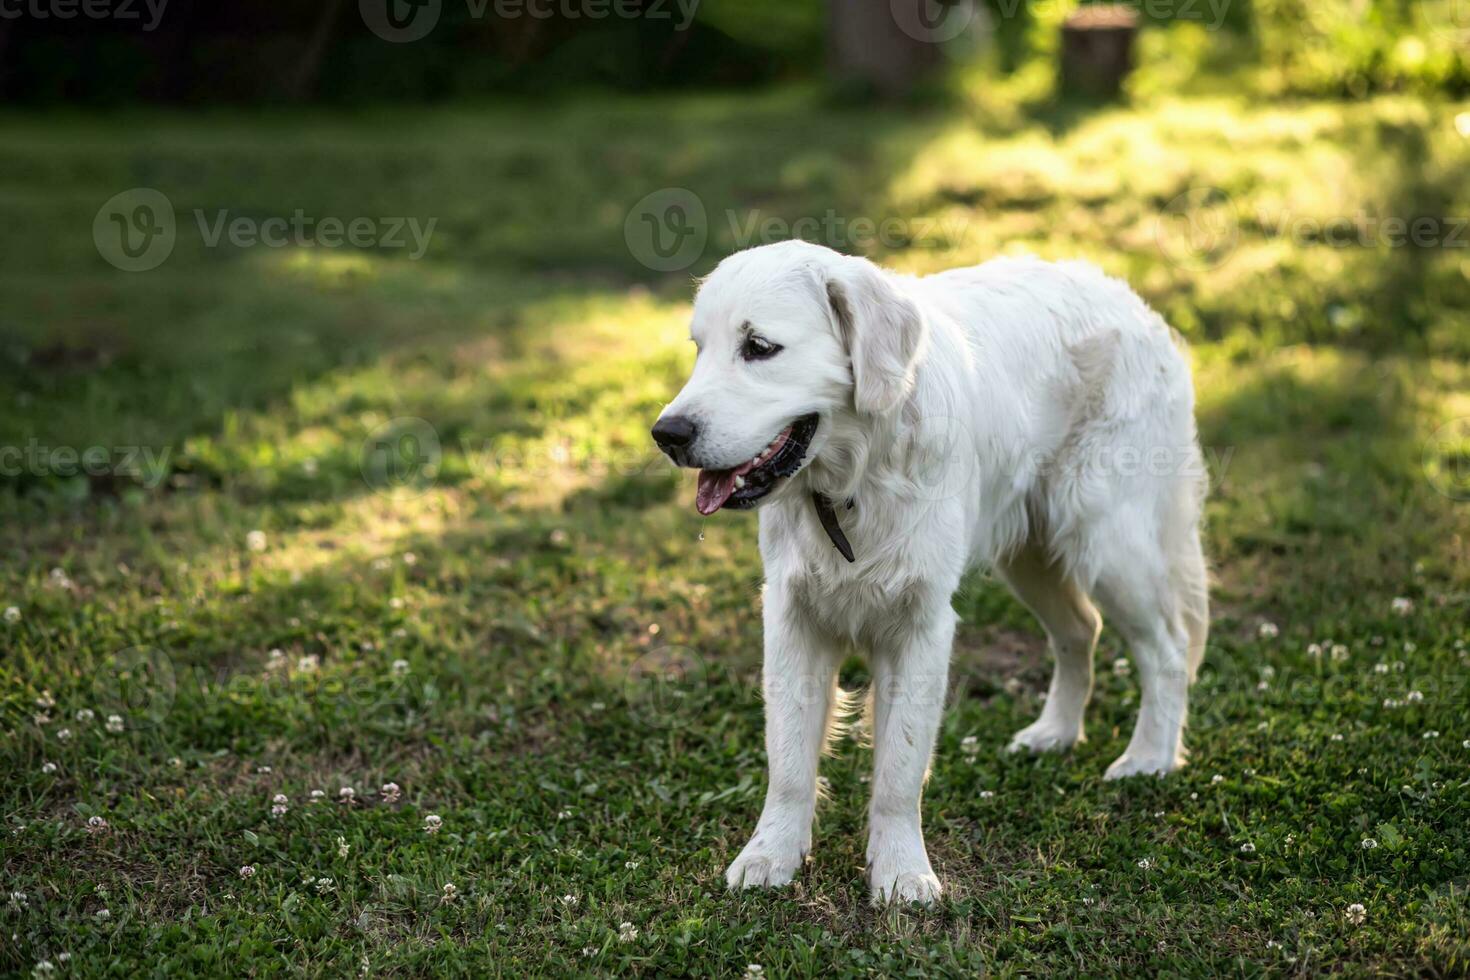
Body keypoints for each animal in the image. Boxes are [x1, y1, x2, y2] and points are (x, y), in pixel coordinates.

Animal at [652, 240, 1205, 910]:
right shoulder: (791, 616)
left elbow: (898, 769)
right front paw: (770, 856)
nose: (666, 434)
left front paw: (900, 874)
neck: (853, 482)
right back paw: (1055, 733)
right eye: (698, 348)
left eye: (758, 347)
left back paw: (1149, 758)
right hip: (1033, 555)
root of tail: (1130, 299)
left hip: (1110, 542)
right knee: (1081, 629)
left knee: (1167, 648)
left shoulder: (920, 622)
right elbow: (788, 759)